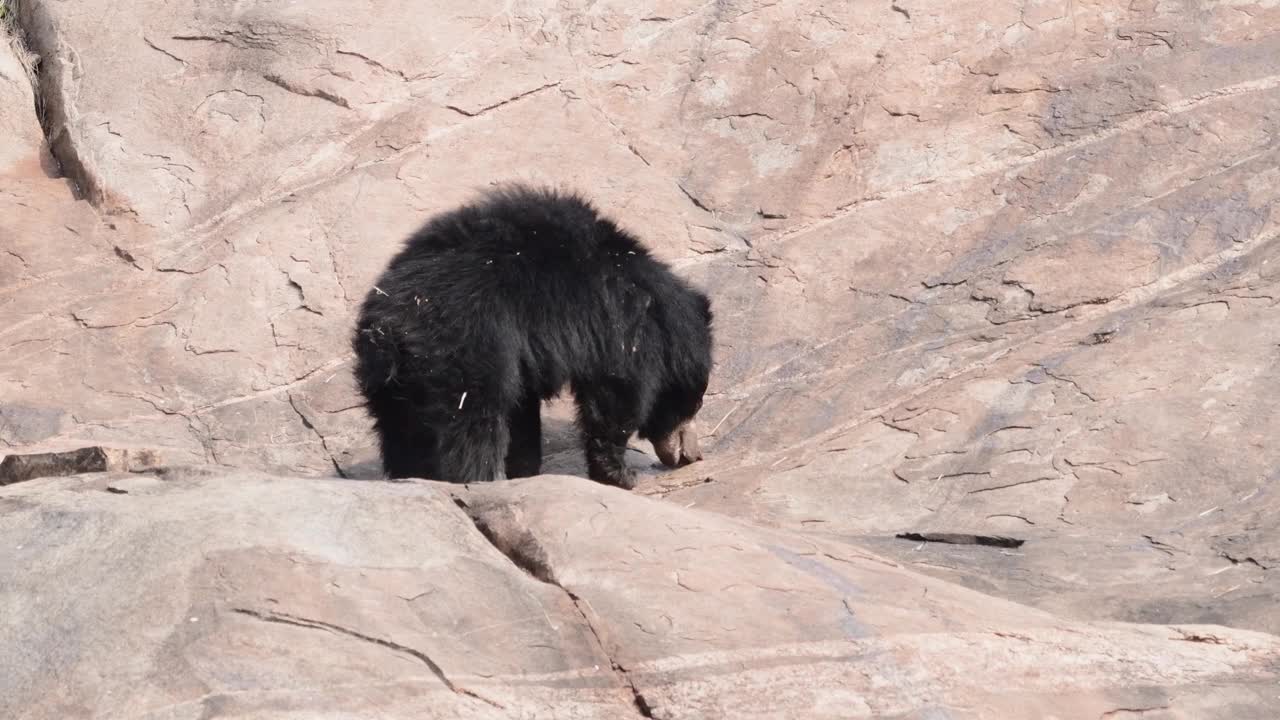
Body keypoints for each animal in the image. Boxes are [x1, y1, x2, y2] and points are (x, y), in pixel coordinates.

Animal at [353, 181, 711, 489]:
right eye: (694, 404)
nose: (693, 456)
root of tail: (391, 325)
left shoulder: (524, 355)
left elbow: (524, 413)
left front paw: (525, 471)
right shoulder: (615, 319)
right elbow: (617, 391)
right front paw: (620, 475)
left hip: (390, 379)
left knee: (401, 430)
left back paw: (413, 476)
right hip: (464, 350)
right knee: (472, 422)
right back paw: (478, 477)